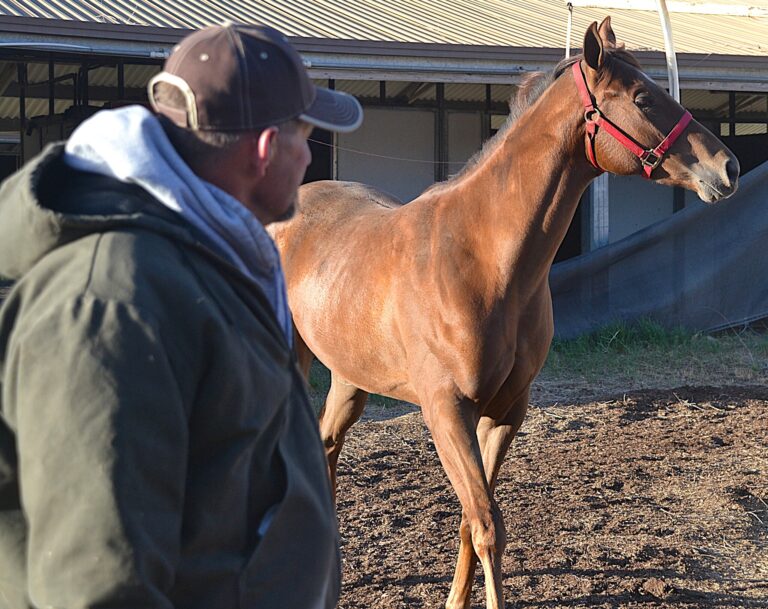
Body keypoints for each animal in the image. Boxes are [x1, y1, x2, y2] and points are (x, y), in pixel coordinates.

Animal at [270, 18, 739, 609]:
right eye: (641, 97)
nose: (729, 167)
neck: (484, 259)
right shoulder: (446, 411)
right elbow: (488, 524)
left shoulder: (504, 413)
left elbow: (474, 521)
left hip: (350, 377)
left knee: (328, 447)